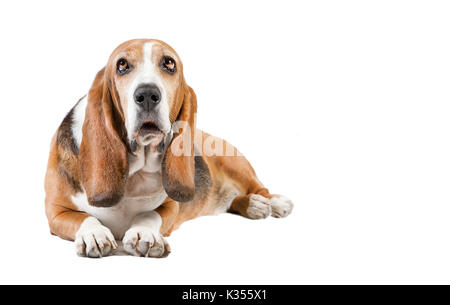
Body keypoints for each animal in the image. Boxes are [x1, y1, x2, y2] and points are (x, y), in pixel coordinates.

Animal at [44, 38, 294, 256]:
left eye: (169, 63)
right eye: (122, 65)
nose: (147, 94)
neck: (136, 172)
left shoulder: (170, 208)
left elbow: (148, 216)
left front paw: (143, 234)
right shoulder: (55, 212)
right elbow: (83, 217)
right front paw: (94, 234)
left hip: (236, 164)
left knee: (259, 188)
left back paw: (269, 202)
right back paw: (252, 205)